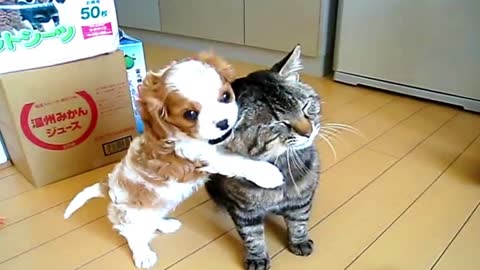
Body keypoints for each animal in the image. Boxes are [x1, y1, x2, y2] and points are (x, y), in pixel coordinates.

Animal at [62, 52, 282, 270]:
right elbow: (236, 161)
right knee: (132, 233)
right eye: (190, 114)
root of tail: (107, 186)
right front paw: (269, 173)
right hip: (133, 215)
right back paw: (143, 255)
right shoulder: (199, 155)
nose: (223, 123)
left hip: (156, 206)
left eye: (226, 96)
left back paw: (165, 225)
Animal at [206, 45, 322, 268]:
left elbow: (299, 220)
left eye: (305, 107)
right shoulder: (244, 210)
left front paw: (299, 241)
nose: (308, 132)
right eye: (279, 123)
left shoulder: (303, 196)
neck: (282, 164)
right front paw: (257, 257)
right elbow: (252, 235)